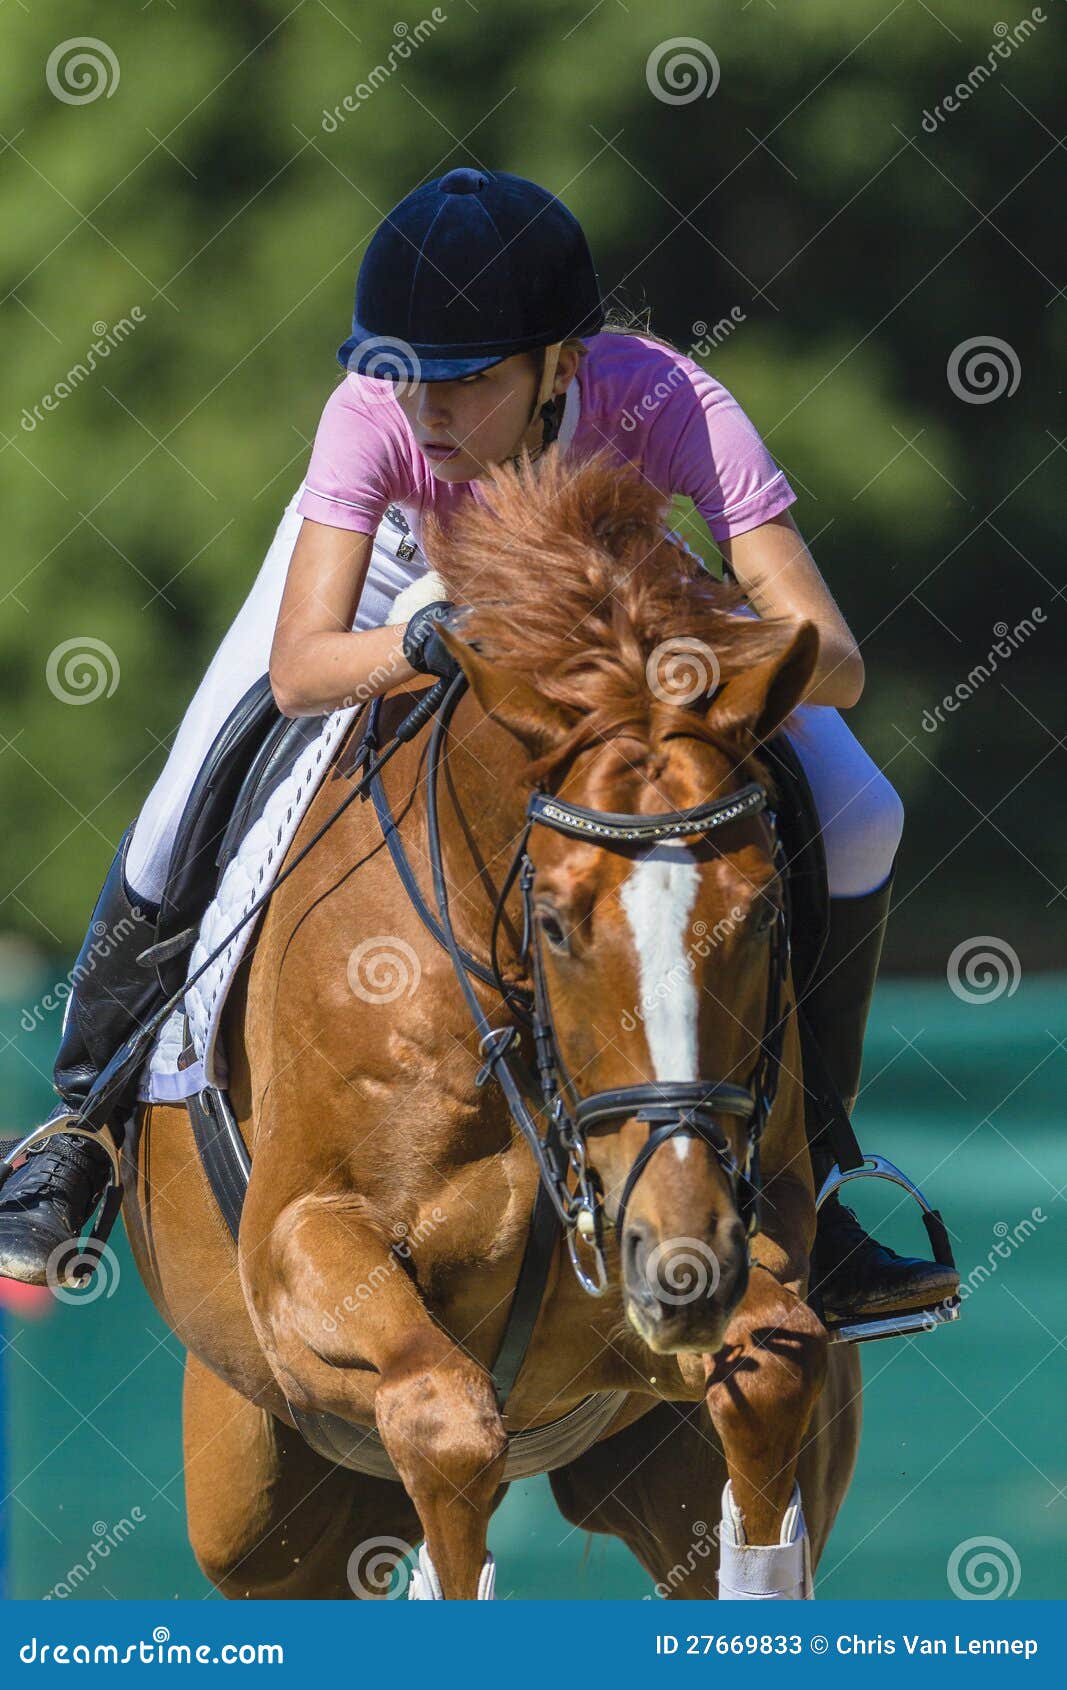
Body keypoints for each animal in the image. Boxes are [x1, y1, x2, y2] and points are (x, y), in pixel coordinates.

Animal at [123, 449, 859, 1595]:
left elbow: (773, 1374)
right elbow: (446, 1423)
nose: (678, 1266)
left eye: (762, 911)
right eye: (551, 921)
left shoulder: (752, 1235)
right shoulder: (301, 1246)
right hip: (259, 1498)